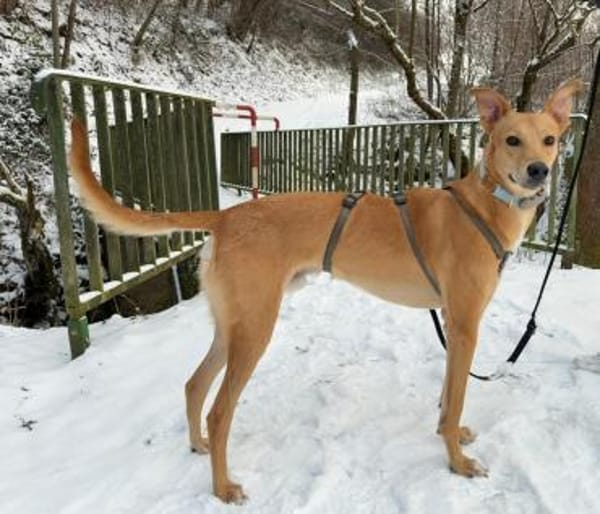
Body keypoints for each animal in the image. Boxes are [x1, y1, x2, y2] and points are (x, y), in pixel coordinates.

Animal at [69, 79, 581, 503]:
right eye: (512, 139)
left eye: (550, 139)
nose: (538, 171)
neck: (484, 206)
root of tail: (227, 216)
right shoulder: (465, 326)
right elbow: (454, 402)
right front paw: (456, 463)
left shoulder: (454, 329)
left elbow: (446, 399)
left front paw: (448, 435)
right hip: (255, 330)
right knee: (219, 411)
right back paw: (222, 487)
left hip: (231, 327)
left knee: (195, 385)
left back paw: (198, 445)